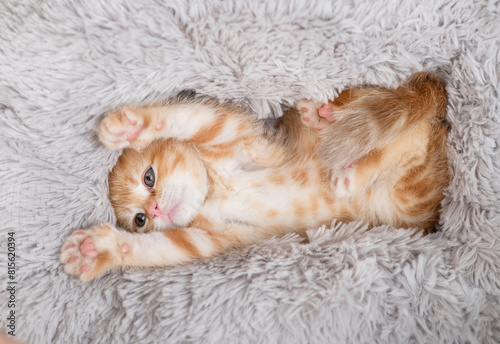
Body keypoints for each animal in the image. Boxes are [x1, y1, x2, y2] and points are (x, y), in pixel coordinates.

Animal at [59, 71, 450, 280]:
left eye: (149, 178)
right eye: (139, 221)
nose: (155, 211)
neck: (214, 191)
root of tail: (435, 91)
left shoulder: (236, 135)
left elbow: (190, 118)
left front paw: (134, 126)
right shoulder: (208, 239)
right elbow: (164, 247)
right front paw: (99, 251)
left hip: (410, 194)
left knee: (403, 135)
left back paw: (345, 162)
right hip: (409, 201)